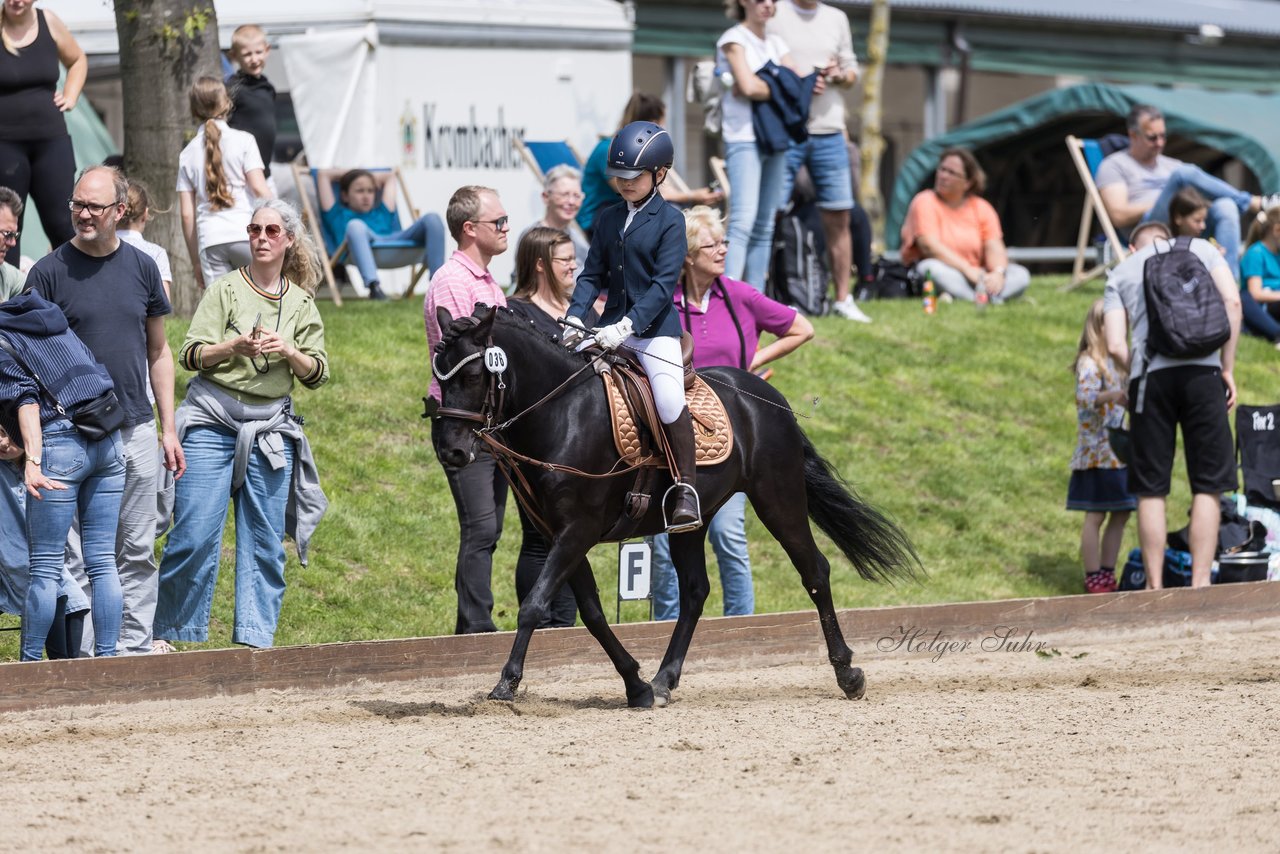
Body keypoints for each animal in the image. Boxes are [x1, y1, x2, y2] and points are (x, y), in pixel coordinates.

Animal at [432, 307, 921, 706]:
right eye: (438, 377)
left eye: (472, 377)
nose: (450, 452)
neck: (563, 413)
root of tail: (765, 394)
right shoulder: (561, 533)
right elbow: (591, 613)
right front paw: (636, 685)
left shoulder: (578, 530)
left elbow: (534, 604)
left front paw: (507, 682)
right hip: (692, 521)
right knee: (695, 592)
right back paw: (665, 680)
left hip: (778, 498)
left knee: (815, 571)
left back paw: (848, 674)